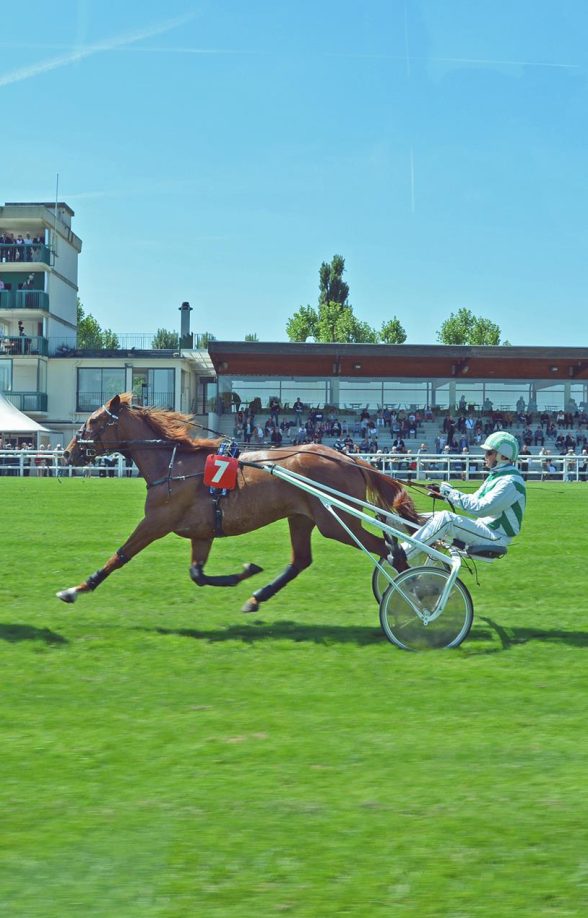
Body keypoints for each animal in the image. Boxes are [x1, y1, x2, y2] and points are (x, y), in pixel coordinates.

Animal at [56, 394, 418, 616]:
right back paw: (256, 597)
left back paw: (414, 592)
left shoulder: (156, 522)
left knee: (389, 549)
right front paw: (245, 572)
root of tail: (347, 457)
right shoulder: (201, 532)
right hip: (302, 517)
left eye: (92, 421)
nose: (68, 453)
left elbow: (119, 556)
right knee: (301, 560)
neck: (174, 465)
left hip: (336, 520)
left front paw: (75, 589)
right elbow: (198, 574)